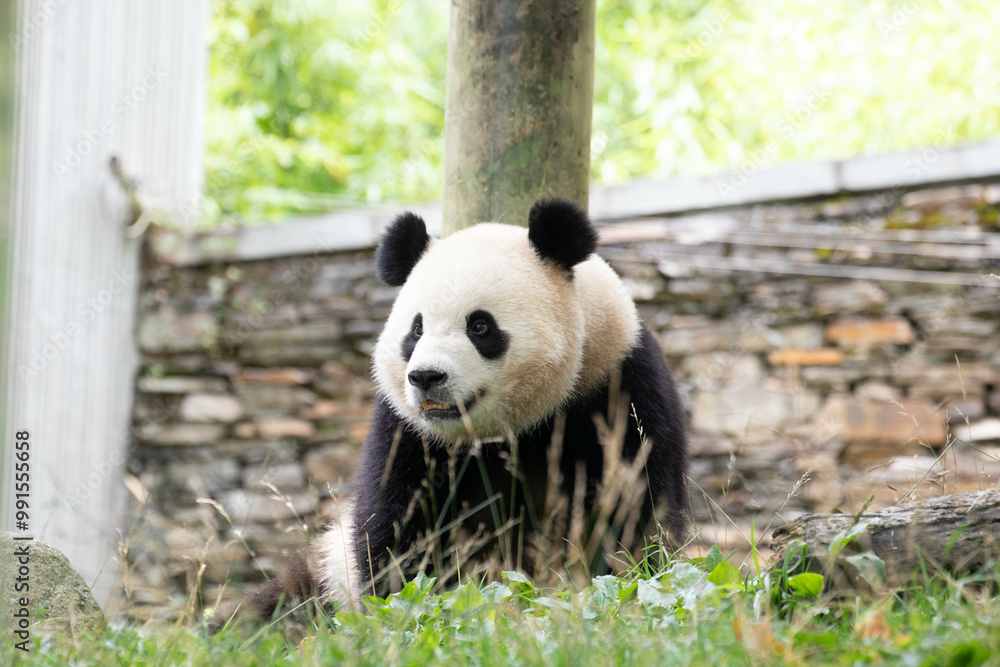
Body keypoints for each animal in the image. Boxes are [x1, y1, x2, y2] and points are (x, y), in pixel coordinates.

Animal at [212, 198, 688, 627]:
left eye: (479, 326)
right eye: (416, 329)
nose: (426, 377)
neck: (504, 432)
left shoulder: (616, 388)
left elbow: (635, 508)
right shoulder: (409, 432)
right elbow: (396, 527)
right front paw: (412, 609)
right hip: (328, 573)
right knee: (279, 608)